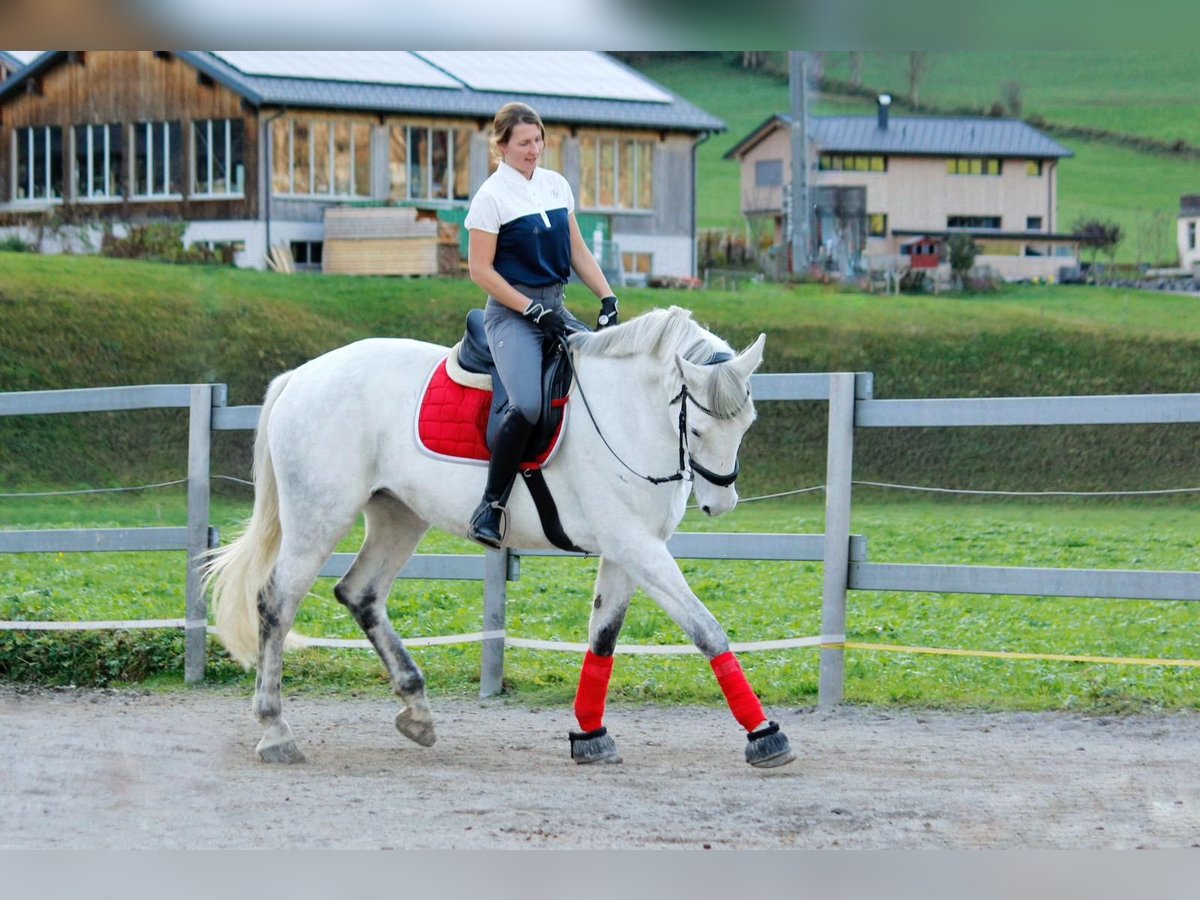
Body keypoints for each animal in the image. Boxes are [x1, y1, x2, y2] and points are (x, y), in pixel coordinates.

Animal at [203, 305, 796, 768]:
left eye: (746, 423)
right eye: (696, 428)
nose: (720, 504)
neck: (626, 415)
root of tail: (302, 377)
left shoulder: (628, 550)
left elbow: (602, 638)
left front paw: (589, 736)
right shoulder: (637, 547)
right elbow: (706, 630)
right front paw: (765, 735)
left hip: (398, 516)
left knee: (360, 593)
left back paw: (417, 711)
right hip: (319, 517)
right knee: (277, 602)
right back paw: (276, 732)